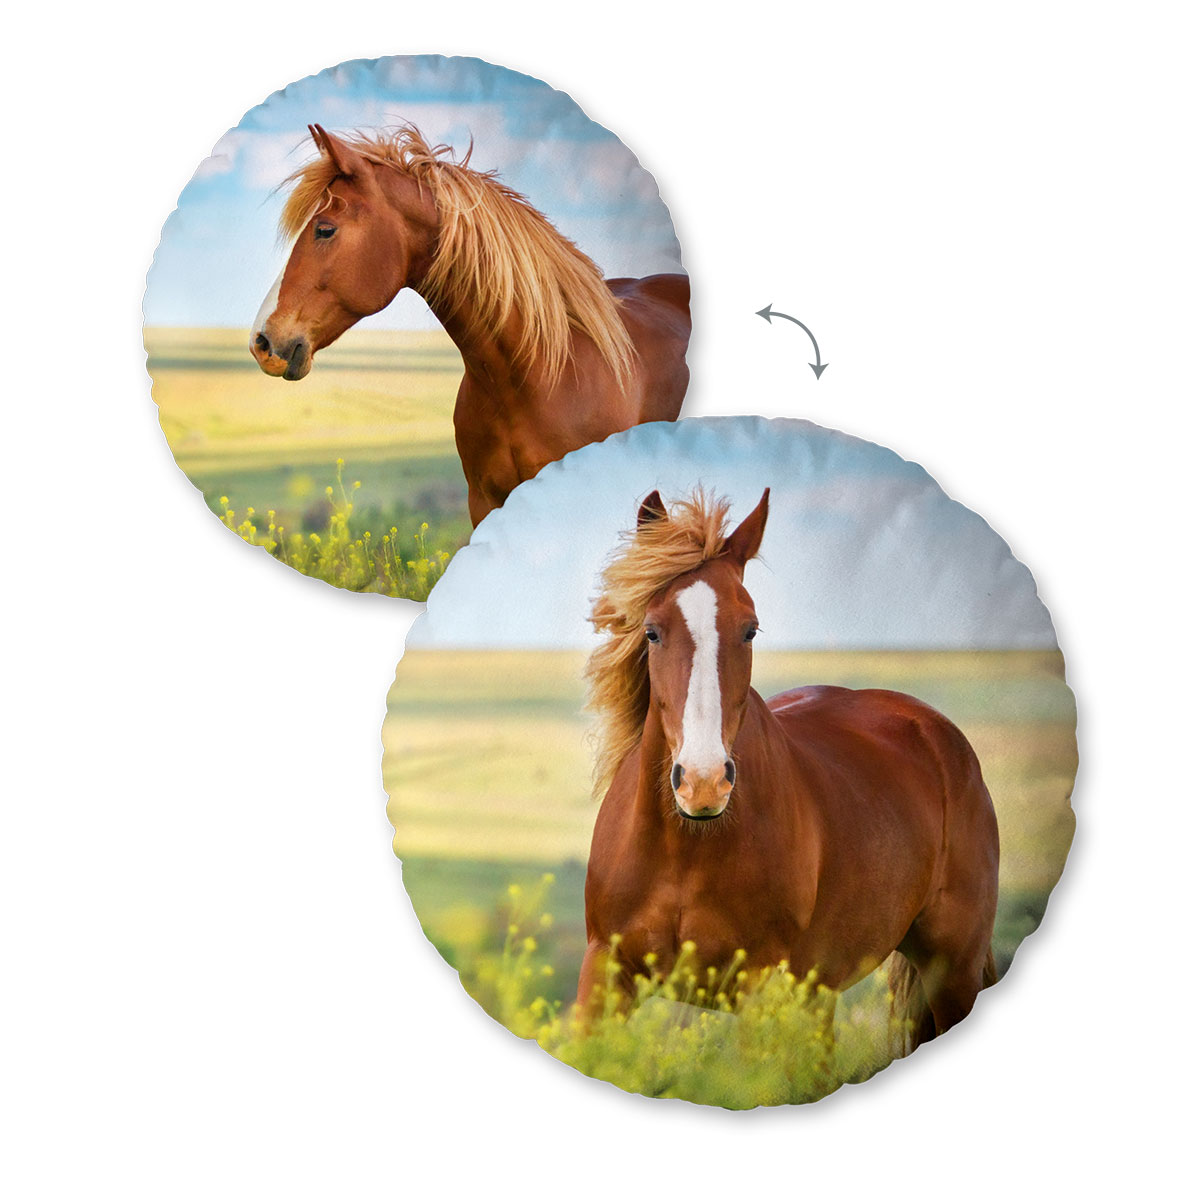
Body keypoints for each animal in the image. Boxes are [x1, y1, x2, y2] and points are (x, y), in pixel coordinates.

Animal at [578, 488, 1000, 1052]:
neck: (685, 849)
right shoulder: (604, 972)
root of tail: (936, 731)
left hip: (952, 970)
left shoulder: (761, 988)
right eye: (651, 632)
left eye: (750, 630)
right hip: (822, 993)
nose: (703, 783)